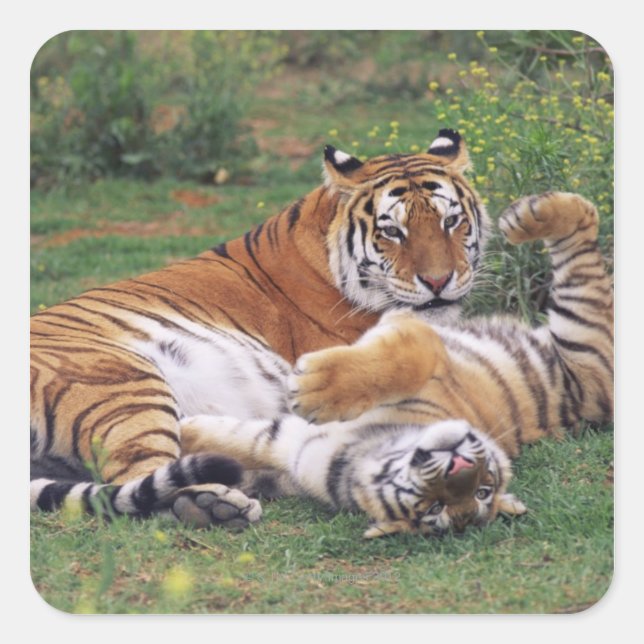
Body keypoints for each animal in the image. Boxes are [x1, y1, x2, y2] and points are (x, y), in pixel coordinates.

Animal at [30, 128, 490, 526]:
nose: (437, 282)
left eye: (451, 222)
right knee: (140, 481)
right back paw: (212, 503)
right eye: (392, 231)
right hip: (123, 382)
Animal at [180, 191, 613, 538]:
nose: (460, 463)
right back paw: (529, 215)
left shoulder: (413, 328)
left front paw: (313, 388)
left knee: (586, 249)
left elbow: (412, 355)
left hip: (585, 335)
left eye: (481, 492)